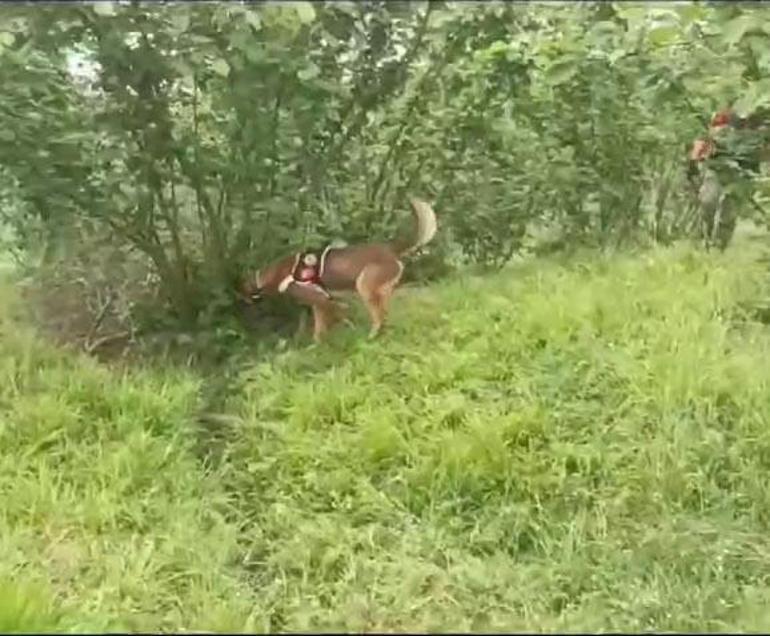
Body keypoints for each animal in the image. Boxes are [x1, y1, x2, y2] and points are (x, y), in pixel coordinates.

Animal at [243, 198, 436, 340]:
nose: (244, 302)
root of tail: (390, 249)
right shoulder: (319, 304)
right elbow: (319, 331)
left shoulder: (323, 301)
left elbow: (336, 317)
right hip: (382, 290)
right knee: (384, 314)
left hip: (364, 286)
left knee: (378, 316)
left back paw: (372, 335)